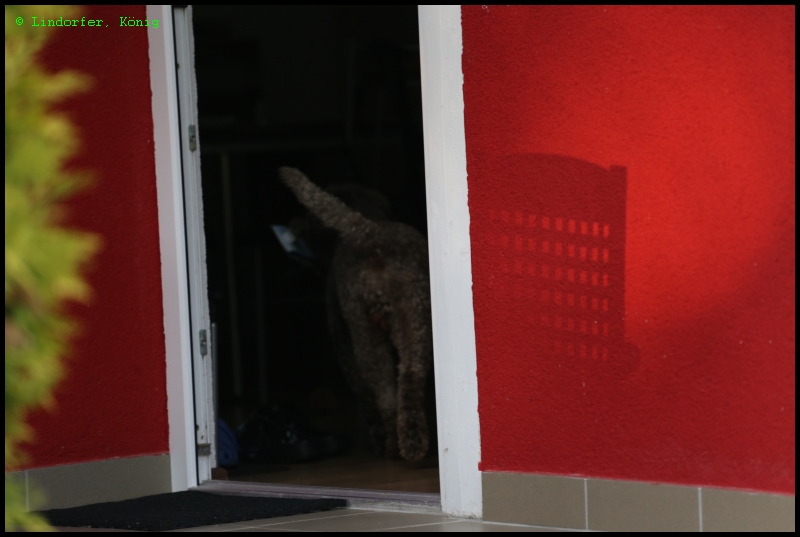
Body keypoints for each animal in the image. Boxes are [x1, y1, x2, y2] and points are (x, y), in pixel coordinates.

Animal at [278, 167, 433, 462]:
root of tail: (369, 231)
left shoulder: (343, 344)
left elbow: (364, 395)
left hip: (364, 335)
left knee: (384, 393)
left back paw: (391, 446)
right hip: (413, 319)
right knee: (410, 376)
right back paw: (413, 442)